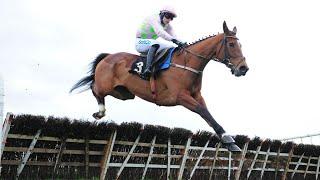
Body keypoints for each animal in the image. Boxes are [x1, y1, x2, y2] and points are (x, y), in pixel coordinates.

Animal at [71, 21, 249, 152]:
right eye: (231, 44)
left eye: (240, 45)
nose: (243, 68)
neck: (187, 63)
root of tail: (107, 57)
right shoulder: (180, 97)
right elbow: (203, 111)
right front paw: (229, 140)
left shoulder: (197, 96)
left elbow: (208, 114)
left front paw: (230, 141)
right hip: (106, 86)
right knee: (95, 88)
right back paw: (100, 111)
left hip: (124, 93)